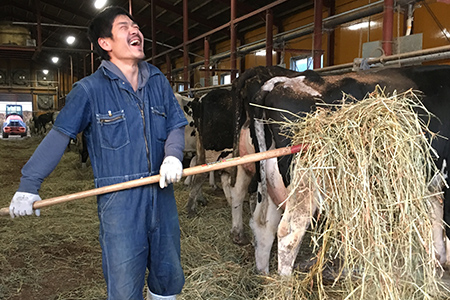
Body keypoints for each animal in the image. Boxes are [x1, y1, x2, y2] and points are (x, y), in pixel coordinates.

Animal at [234, 64, 450, 276]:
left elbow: (436, 217)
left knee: (263, 225)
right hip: (304, 183)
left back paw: (263, 276)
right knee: (289, 233)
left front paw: (437, 259)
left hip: (268, 180)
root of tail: (277, 83)